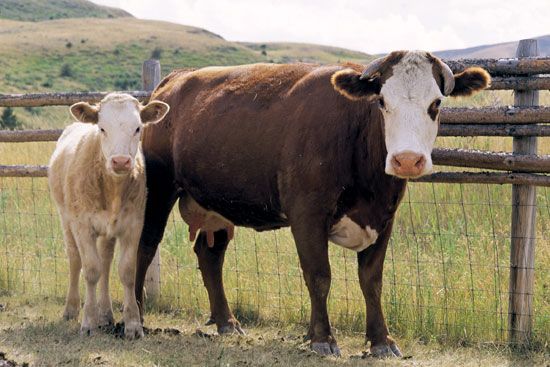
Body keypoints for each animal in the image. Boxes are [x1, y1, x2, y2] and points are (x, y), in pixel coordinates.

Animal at [49, 93, 170, 340]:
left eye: (137, 128)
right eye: (102, 128)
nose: (121, 161)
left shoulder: (133, 225)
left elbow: (127, 271)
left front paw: (132, 324)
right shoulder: (82, 226)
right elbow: (90, 270)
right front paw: (88, 321)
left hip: (108, 230)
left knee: (105, 260)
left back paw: (105, 313)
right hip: (66, 219)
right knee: (75, 260)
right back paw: (71, 309)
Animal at [135, 53, 492, 358]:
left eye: (436, 103)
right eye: (381, 101)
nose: (406, 160)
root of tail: (175, 79)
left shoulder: (384, 218)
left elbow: (372, 281)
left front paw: (381, 340)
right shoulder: (307, 214)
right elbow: (319, 276)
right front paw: (322, 338)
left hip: (217, 202)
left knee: (210, 256)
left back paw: (227, 322)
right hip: (158, 189)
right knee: (145, 247)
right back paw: (135, 317)